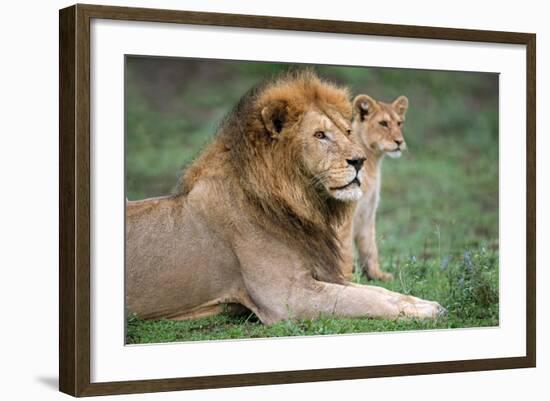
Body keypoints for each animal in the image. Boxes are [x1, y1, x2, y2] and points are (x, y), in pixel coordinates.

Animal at [125, 70, 444, 324]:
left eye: (347, 131)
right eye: (319, 135)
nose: (360, 161)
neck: (301, 204)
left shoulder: (321, 274)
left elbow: (376, 291)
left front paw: (422, 302)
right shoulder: (287, 296)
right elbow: (364, 300)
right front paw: (423, 311)